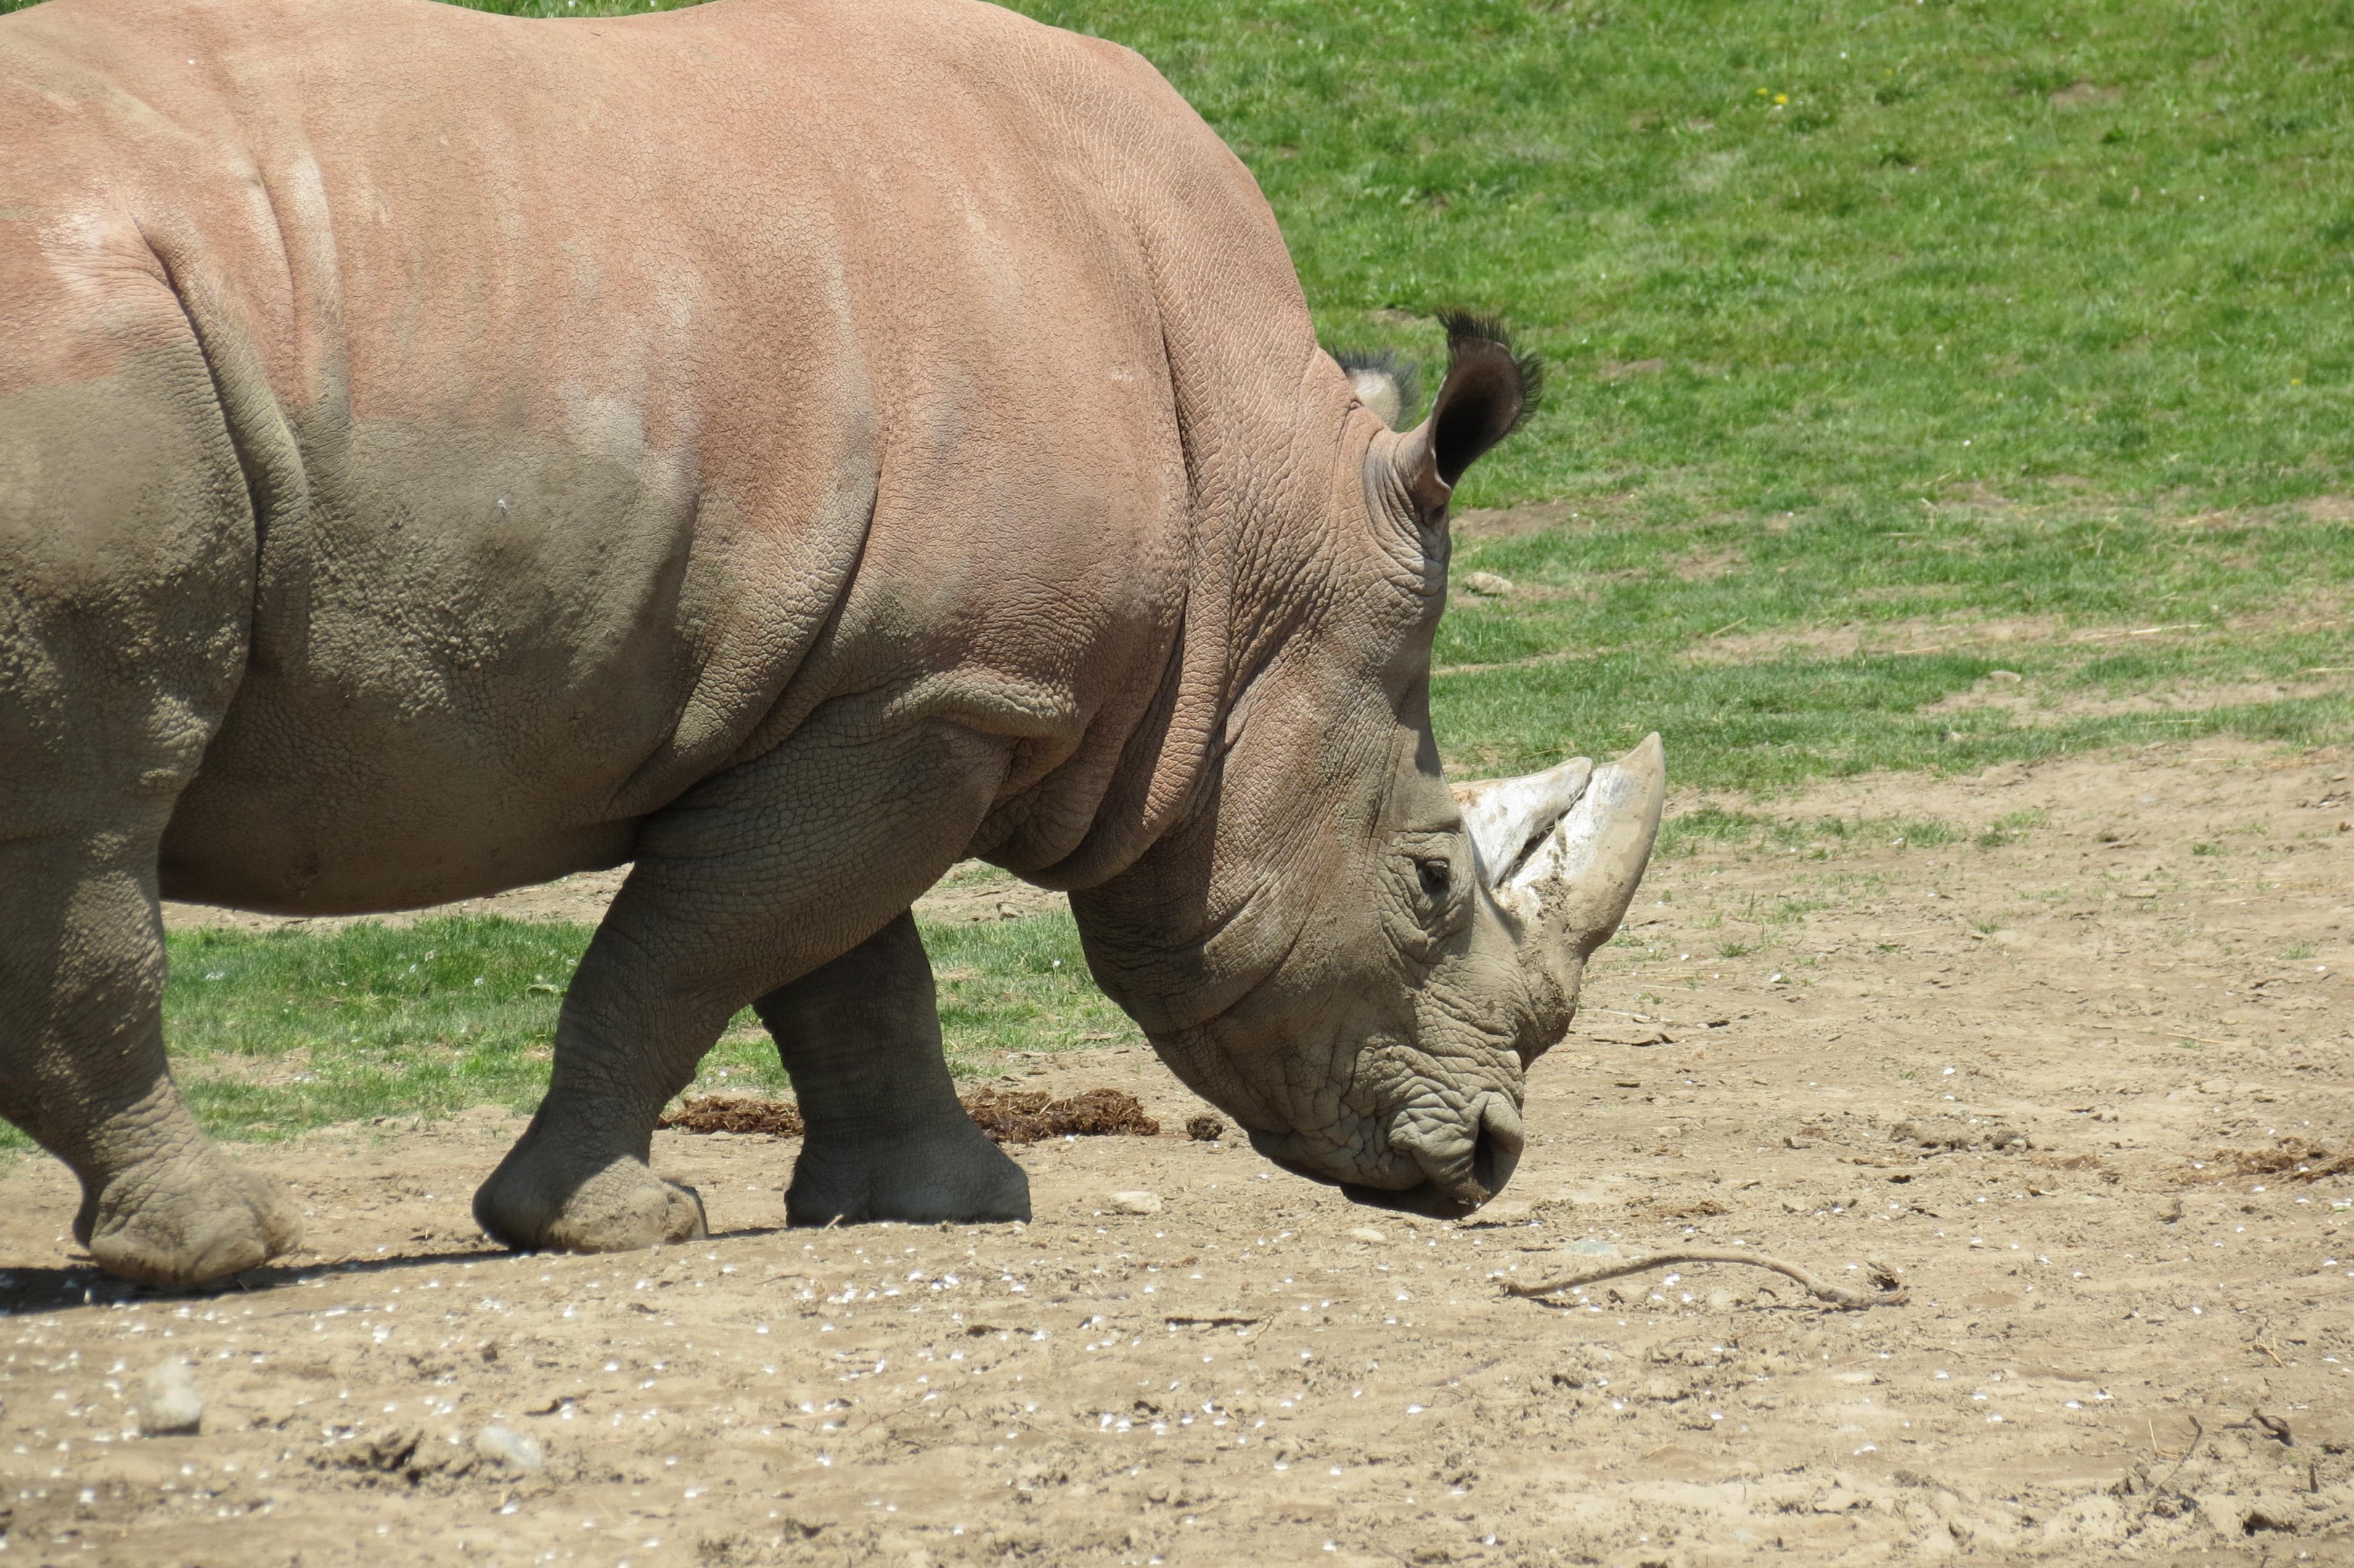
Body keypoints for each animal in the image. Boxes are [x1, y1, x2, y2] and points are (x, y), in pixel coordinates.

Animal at [0, 0, 1662, 1286]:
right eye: (1431, 882)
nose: (1489, 1157)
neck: (1248, 576)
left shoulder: (890, 684)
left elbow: (841, 963)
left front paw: (942, 1203)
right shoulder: (940, 695)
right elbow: (703, 952)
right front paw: (612, 1226)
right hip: (89, 369)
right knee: (95, 813)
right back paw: (223, 1247)